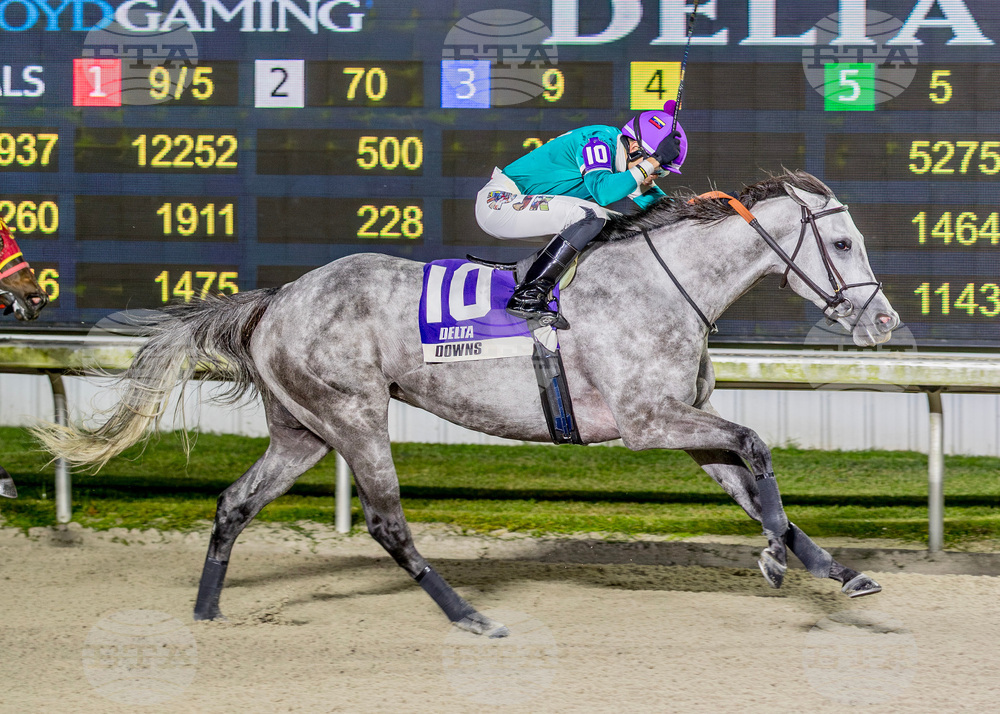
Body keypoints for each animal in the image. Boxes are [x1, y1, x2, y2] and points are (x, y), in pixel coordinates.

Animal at [33, 171, 898, 637]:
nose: (884, 321)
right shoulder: (648, 422)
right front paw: (777, 558)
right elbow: (756, 445)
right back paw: (469, 616)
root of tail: (278, 299)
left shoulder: (677, 425)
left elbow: (751, 480)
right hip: (355, 416)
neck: (663, 281)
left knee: (234, 504)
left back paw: (208, 612)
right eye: (843, 243)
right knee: (386, 523)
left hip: (301, 431)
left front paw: (830, 567)